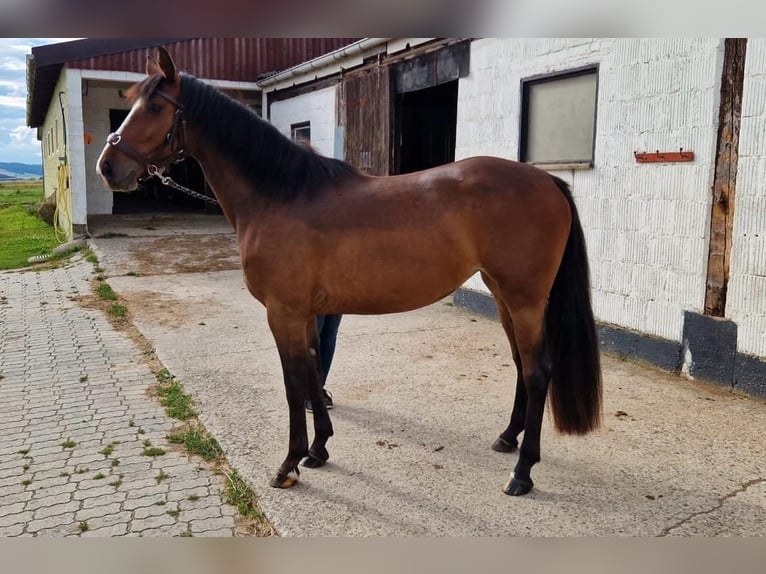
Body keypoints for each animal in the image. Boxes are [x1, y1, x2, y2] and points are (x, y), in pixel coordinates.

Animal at [96, 48, 604, 500]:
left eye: (155, 106)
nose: (107, 168)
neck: (281, 194)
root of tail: (548, 181)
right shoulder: (304, 313)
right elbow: (312, 371)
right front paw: (318, 449)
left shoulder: (282, 313)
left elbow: (293, 384)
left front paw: (288, 465)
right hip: (503, 296)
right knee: (521, 365)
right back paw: (507, 439)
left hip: (524, 299)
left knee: (538, 372)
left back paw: (522, 473)